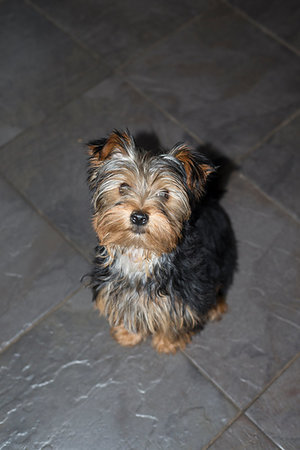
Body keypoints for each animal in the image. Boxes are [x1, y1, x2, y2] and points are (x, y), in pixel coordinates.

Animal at [86, 128, 237, 354]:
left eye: (165, 194)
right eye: (123, 187)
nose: (139, 217)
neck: (140, 251)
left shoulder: (187, 291)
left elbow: (177, 317)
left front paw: (167, 343)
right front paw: (127, 334)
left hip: (223, 254)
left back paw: (216, 307)